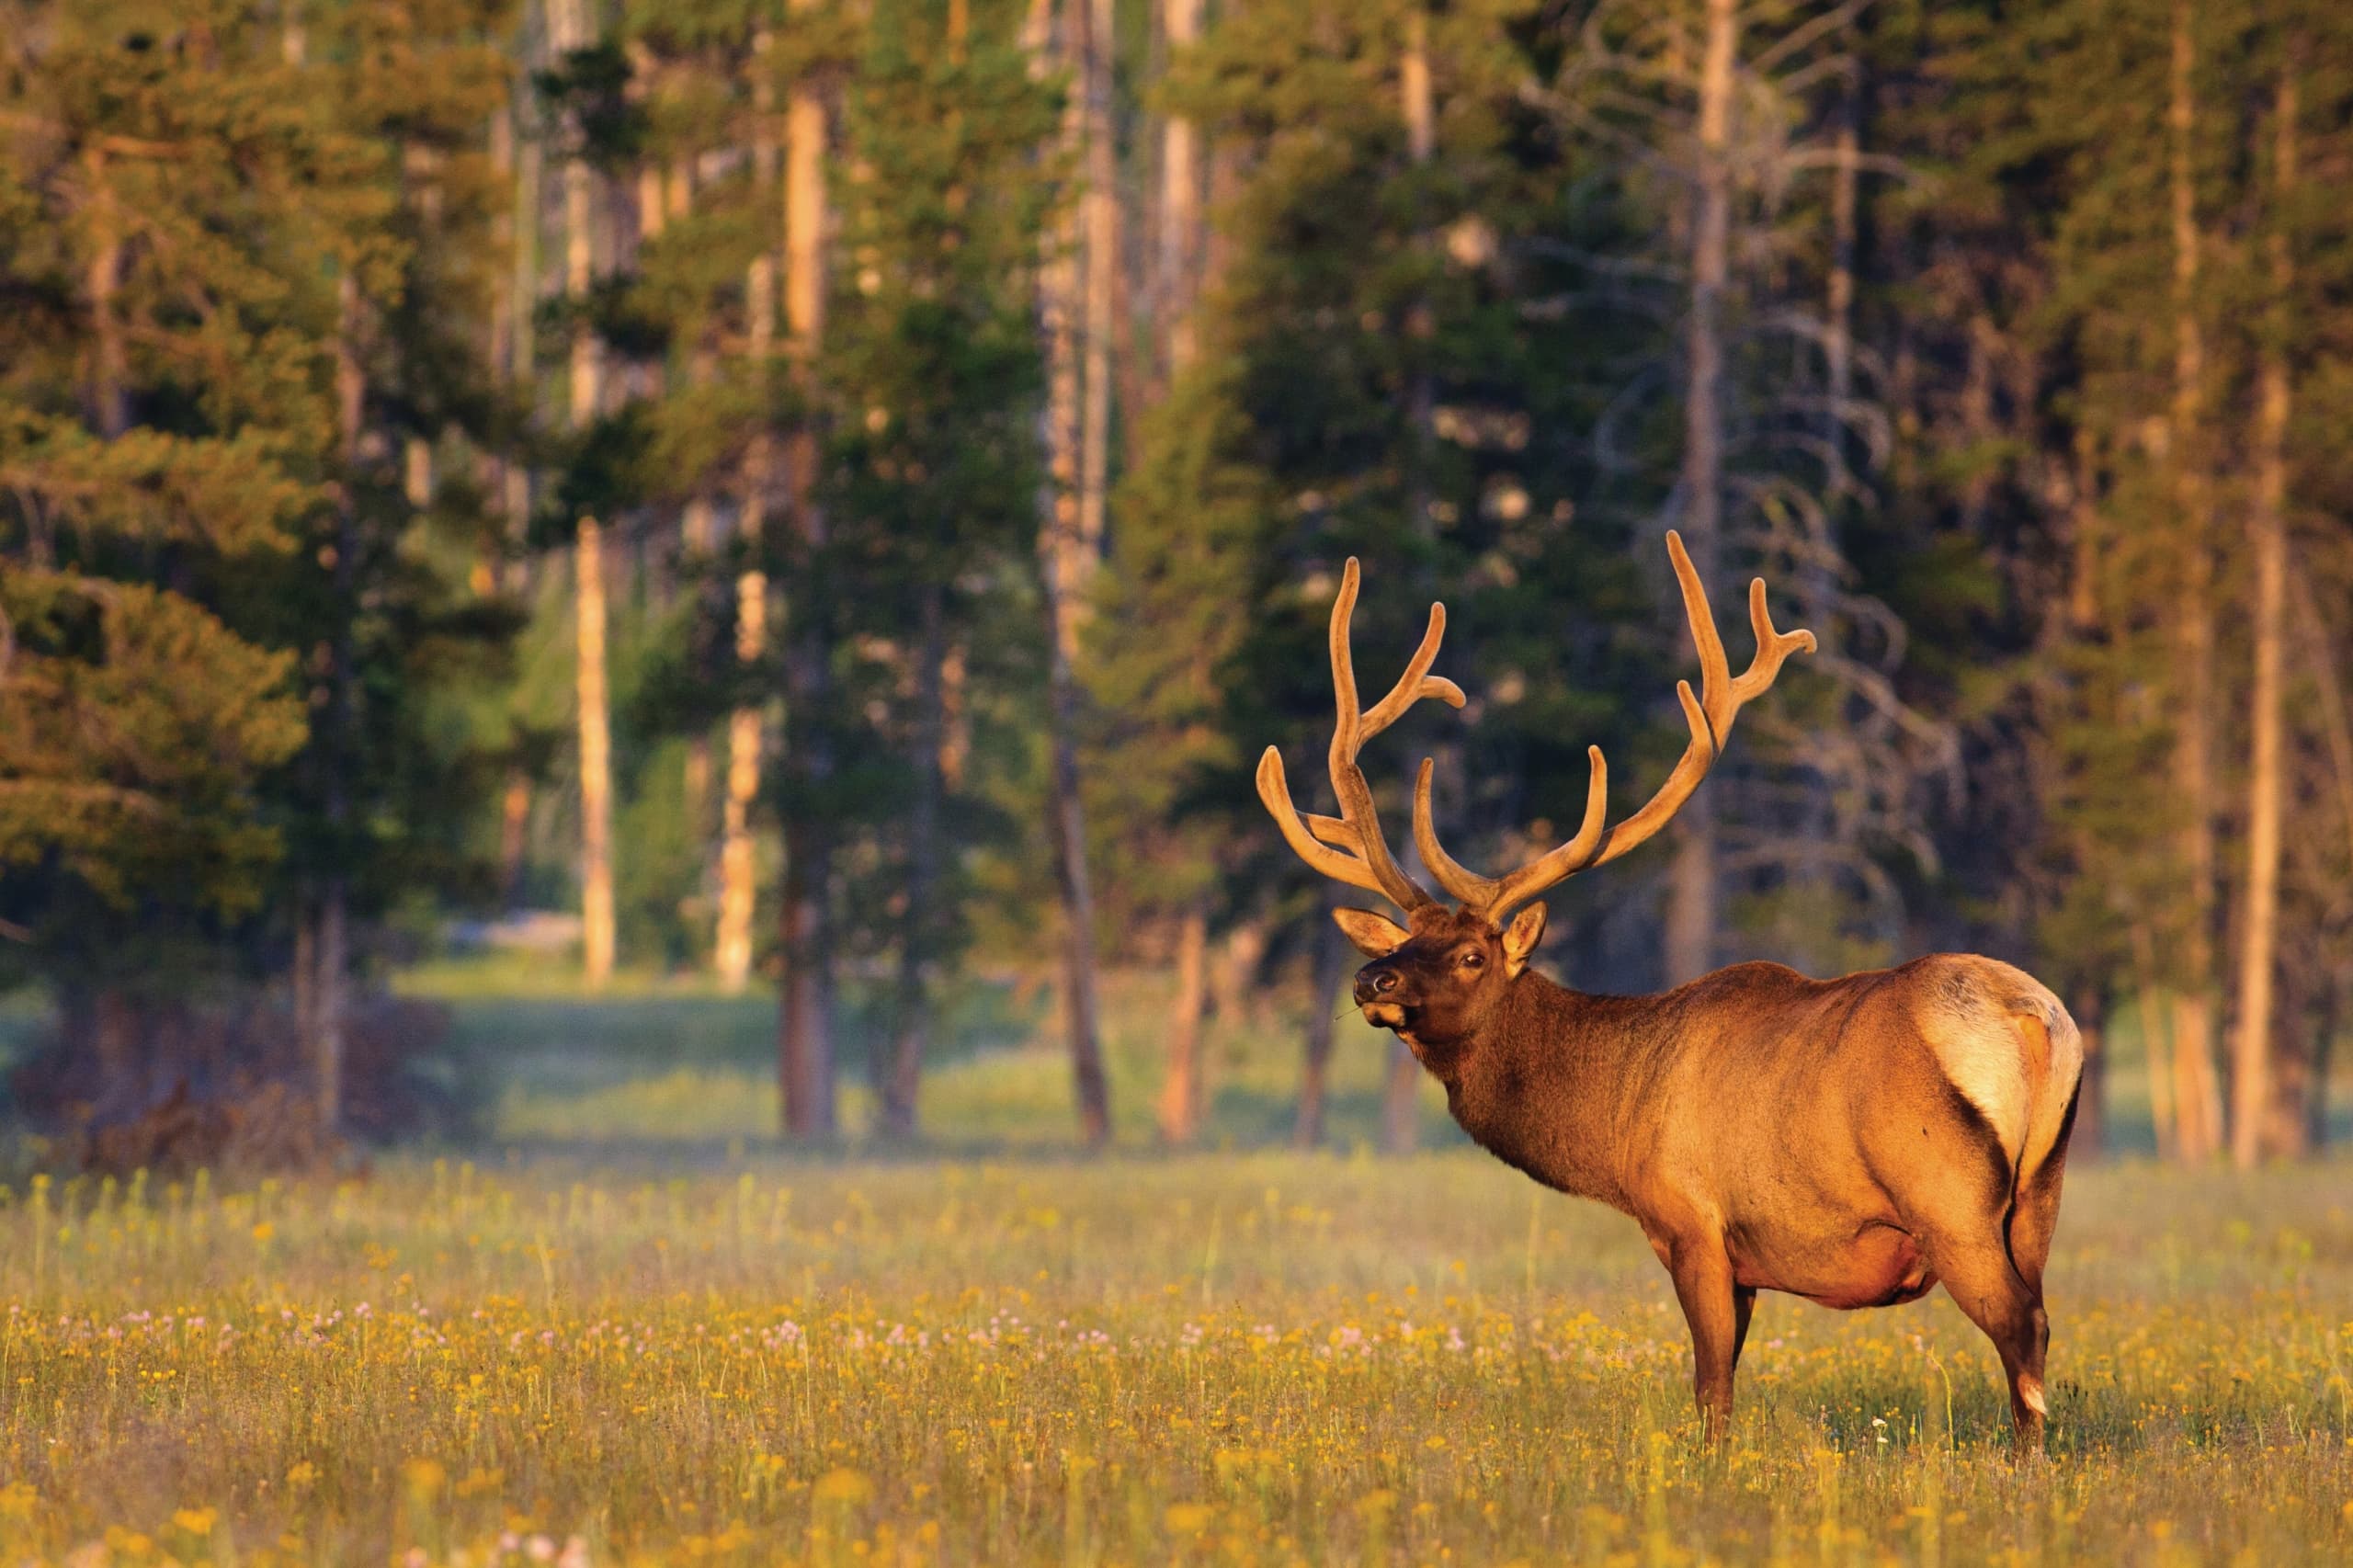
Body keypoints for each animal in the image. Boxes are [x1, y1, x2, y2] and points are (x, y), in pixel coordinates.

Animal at [1256, 534, 2083, 1456]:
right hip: (2040, 1194)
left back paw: (2023, 1463)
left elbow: (1711, 1388)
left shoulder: (1693, 1222)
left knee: (2018, 1324)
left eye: (1472, 955)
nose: (1373, 979)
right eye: (1399, 942)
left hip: (1950, 1197)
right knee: (2040, 1315)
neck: (1614, 1123)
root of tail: (2034, 1018)